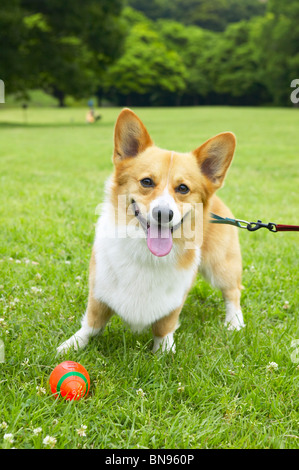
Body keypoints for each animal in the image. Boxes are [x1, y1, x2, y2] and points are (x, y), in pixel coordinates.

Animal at [57, 107, 245, 356]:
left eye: (183, 188)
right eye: (146, 182)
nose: (164, 214)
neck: (145, 253)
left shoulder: (175, 298)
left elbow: (165, 326)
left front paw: (164, 351)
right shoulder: (99, 290)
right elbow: (92, 323)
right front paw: (72, 345)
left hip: (220, 266)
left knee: (233, 292)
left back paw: (234, 322)